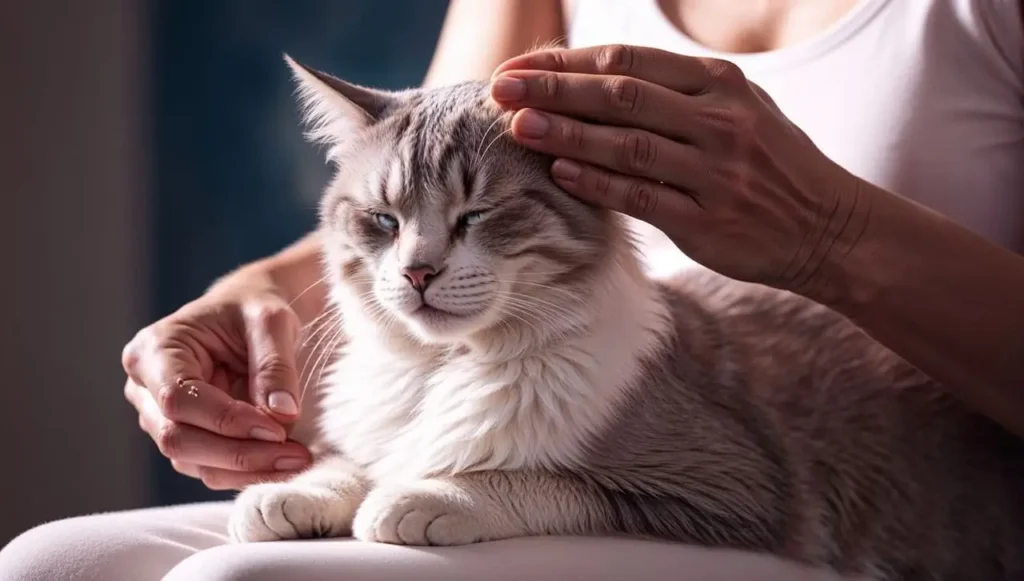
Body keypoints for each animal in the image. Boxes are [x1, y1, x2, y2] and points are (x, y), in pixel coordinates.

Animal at [226, 55, 1024, 581]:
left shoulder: (725, 490)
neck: (440, 370)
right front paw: (293, 493)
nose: (418, 273)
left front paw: (424, 495)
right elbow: (353, 462)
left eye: (476, 215)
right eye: (384, 221)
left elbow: (536, 482)